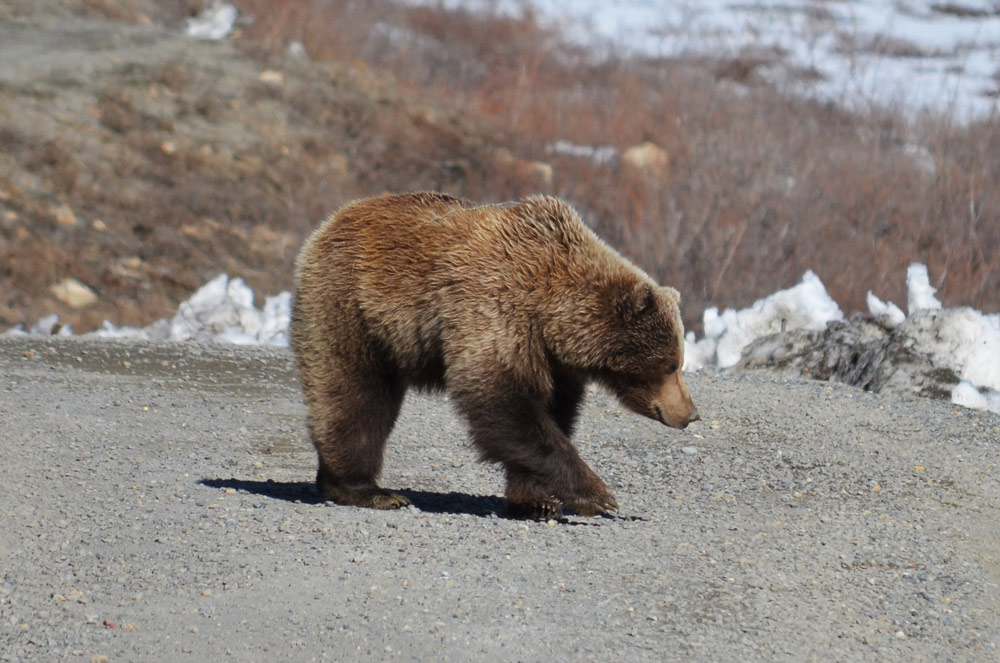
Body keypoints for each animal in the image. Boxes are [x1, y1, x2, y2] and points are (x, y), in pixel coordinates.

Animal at [290, 192, 696, 520]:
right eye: (670, 364)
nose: (690, 413)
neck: (551, 313)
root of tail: (331, 221)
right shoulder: (499, 313)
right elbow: (503, 402)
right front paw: (596, 495)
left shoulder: (552, 360)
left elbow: (550, 414)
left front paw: (536, 500)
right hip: (350, 308)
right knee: (355, 396)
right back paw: (367, 490)